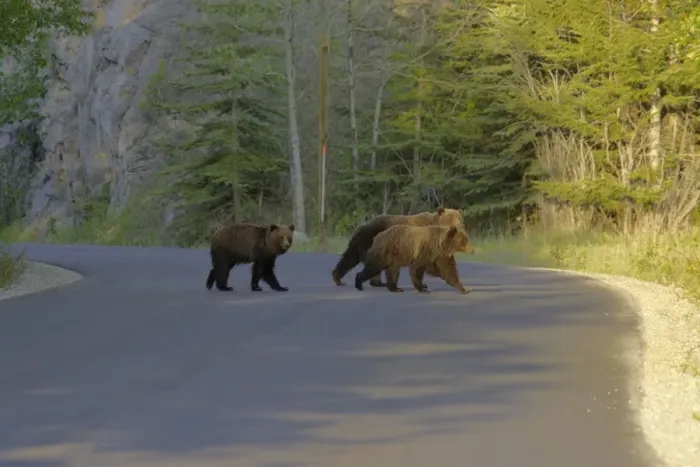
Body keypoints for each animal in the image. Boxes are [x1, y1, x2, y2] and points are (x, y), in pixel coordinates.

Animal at [331, 207, 465, 288]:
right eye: (451, 218)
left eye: (459, 218)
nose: (459, 226)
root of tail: (360, 227)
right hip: (372, 242)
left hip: (360, 244)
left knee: (349, 259)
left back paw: (338, 278)